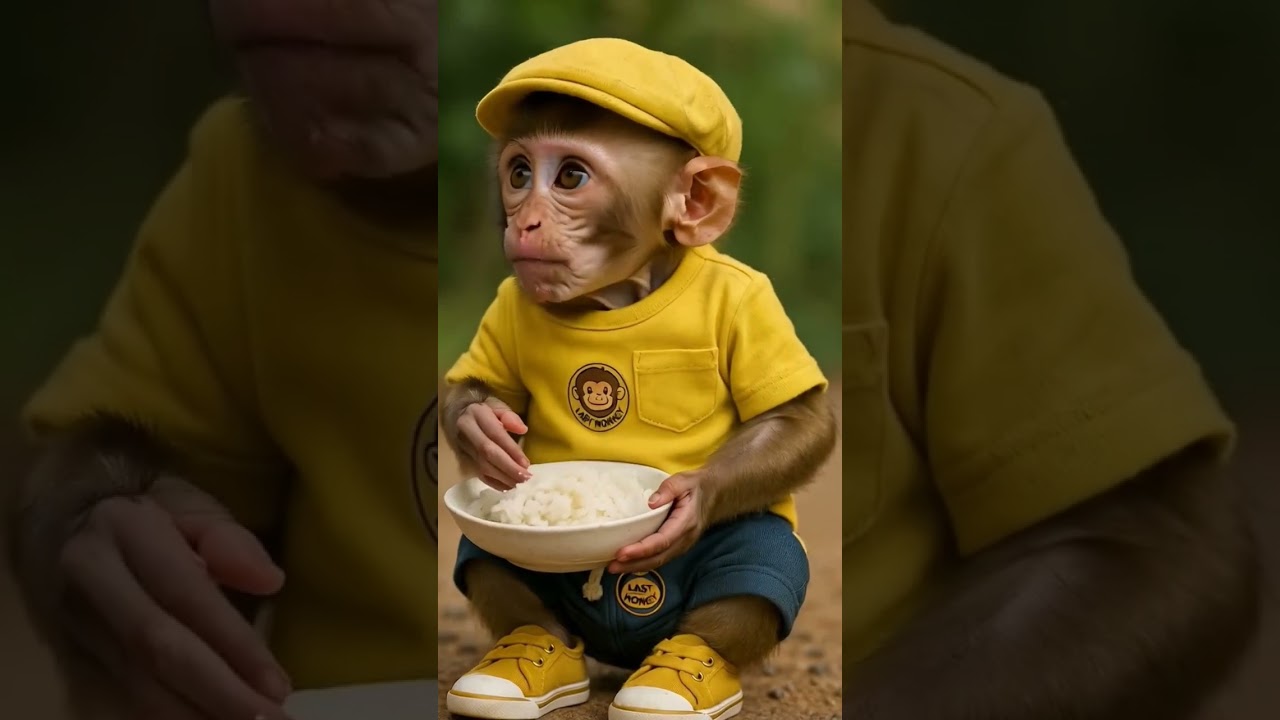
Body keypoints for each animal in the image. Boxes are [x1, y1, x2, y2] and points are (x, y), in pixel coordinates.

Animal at [440, 39, 838, 720]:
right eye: (519, 174)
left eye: (570, 177)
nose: (526, 220)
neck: (618, 297)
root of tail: (619, 648)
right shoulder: (506, 301)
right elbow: (473, 393)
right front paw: (483, 429)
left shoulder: (748, 297)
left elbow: (796, 419)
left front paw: (690, 497)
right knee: (488, 557)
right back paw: (527, 658)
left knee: (757, 562)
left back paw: (677, 677)